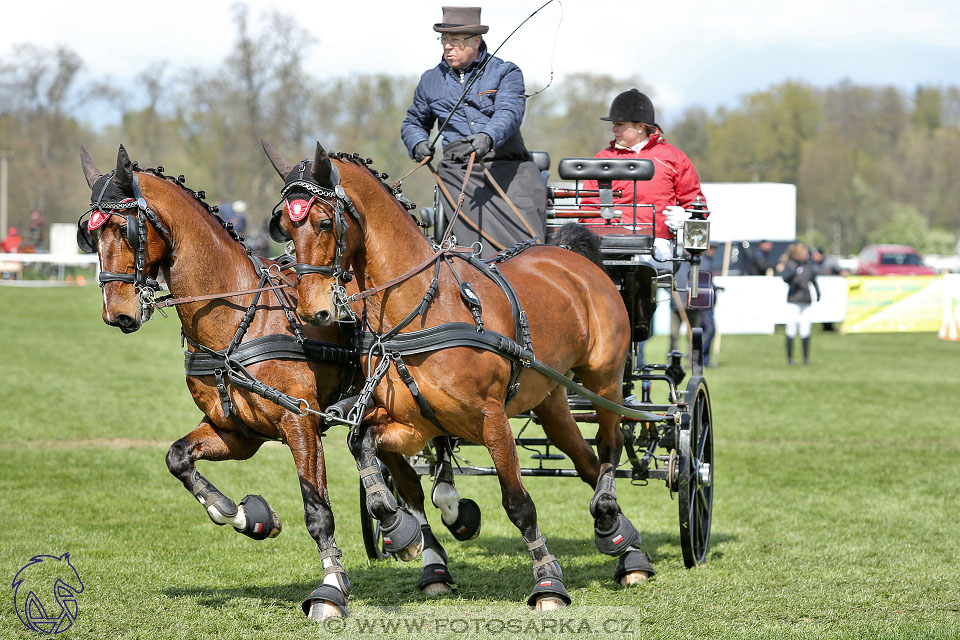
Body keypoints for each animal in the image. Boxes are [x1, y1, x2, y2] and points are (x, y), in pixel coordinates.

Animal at [77, 145, 460, 620]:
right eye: (90, 236)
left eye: (125, 229)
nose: (118, 313)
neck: (241, 314)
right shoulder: (237, 431)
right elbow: (178, 458)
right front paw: (246, 516)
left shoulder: (300, 424)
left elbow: (318, 511)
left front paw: (331, 587)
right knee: (407, 478)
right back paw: (425, 548)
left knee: (433, 453)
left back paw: (447, 509)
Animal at [262, 141, 656, 608]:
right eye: (285, 227)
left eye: (324, 223)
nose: (313, 312)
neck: (421, 309)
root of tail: (572, 257)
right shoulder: (415, 422)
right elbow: (372, 453)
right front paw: (399, 527)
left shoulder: (491, 419)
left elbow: (518, 503)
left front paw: (547, 582)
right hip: (551, 400)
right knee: (587, 462)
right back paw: (622, 540)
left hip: (604, 380)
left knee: (611, 444)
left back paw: (617, 533)